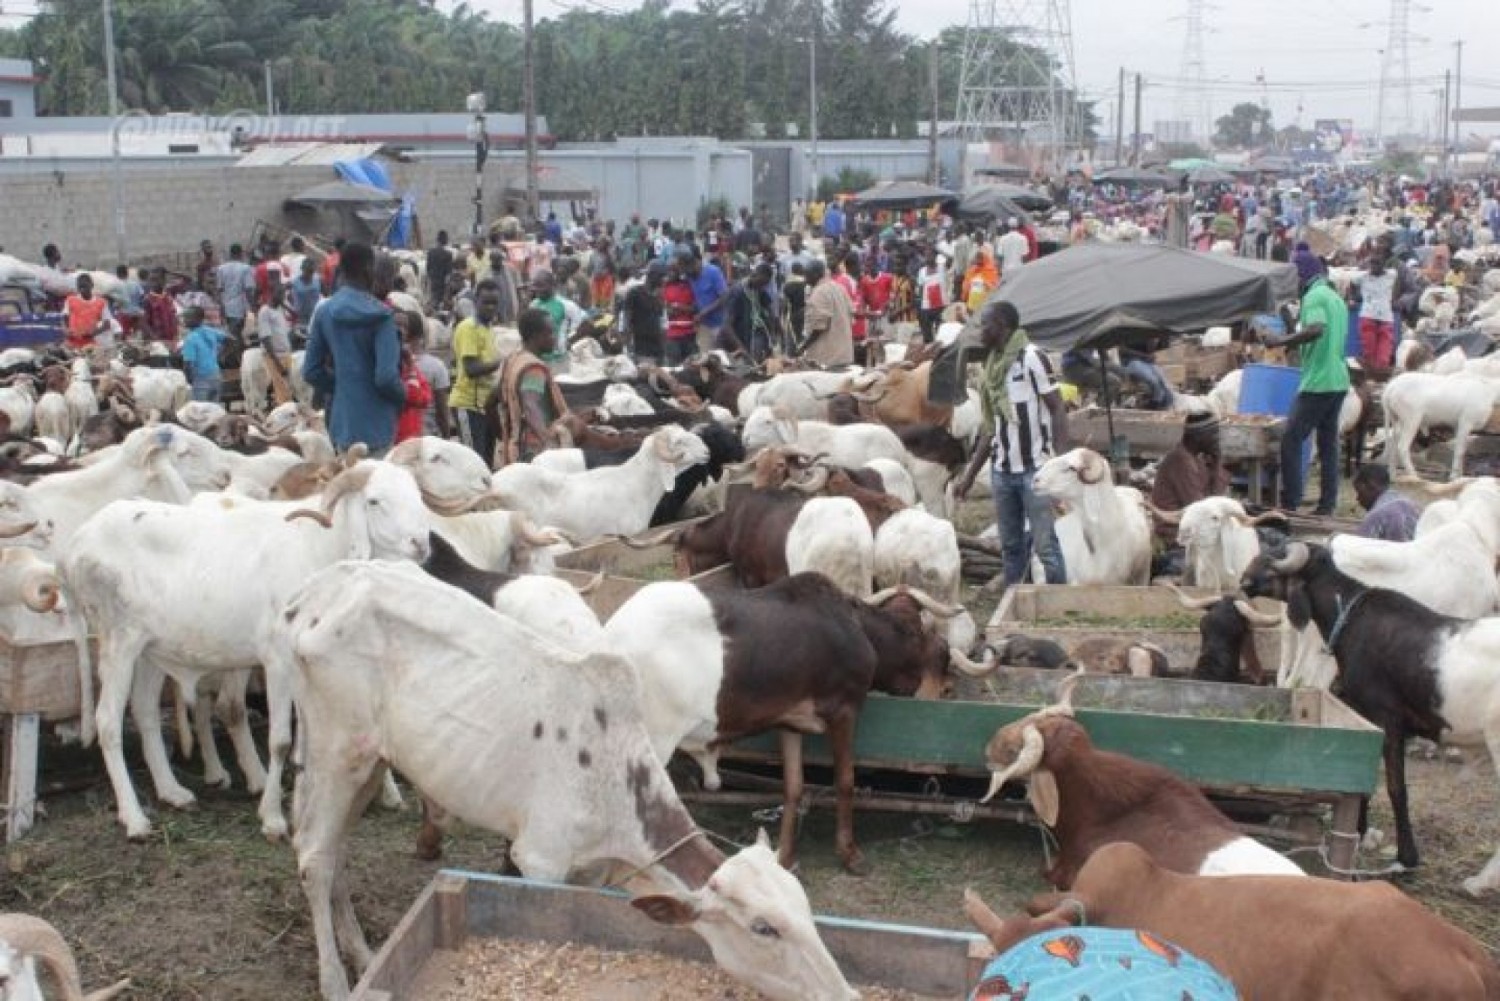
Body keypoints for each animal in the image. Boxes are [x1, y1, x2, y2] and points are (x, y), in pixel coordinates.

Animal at [1236, 543, 1500, 894]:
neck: (1353, 619)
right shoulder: (1367, 721)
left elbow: (1396, 790)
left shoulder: (1386, 720)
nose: (1244, 580)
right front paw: (1360, 833)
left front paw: (1406, 858)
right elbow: (1364, 784)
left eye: (1273, 560)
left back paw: (1480, 882)